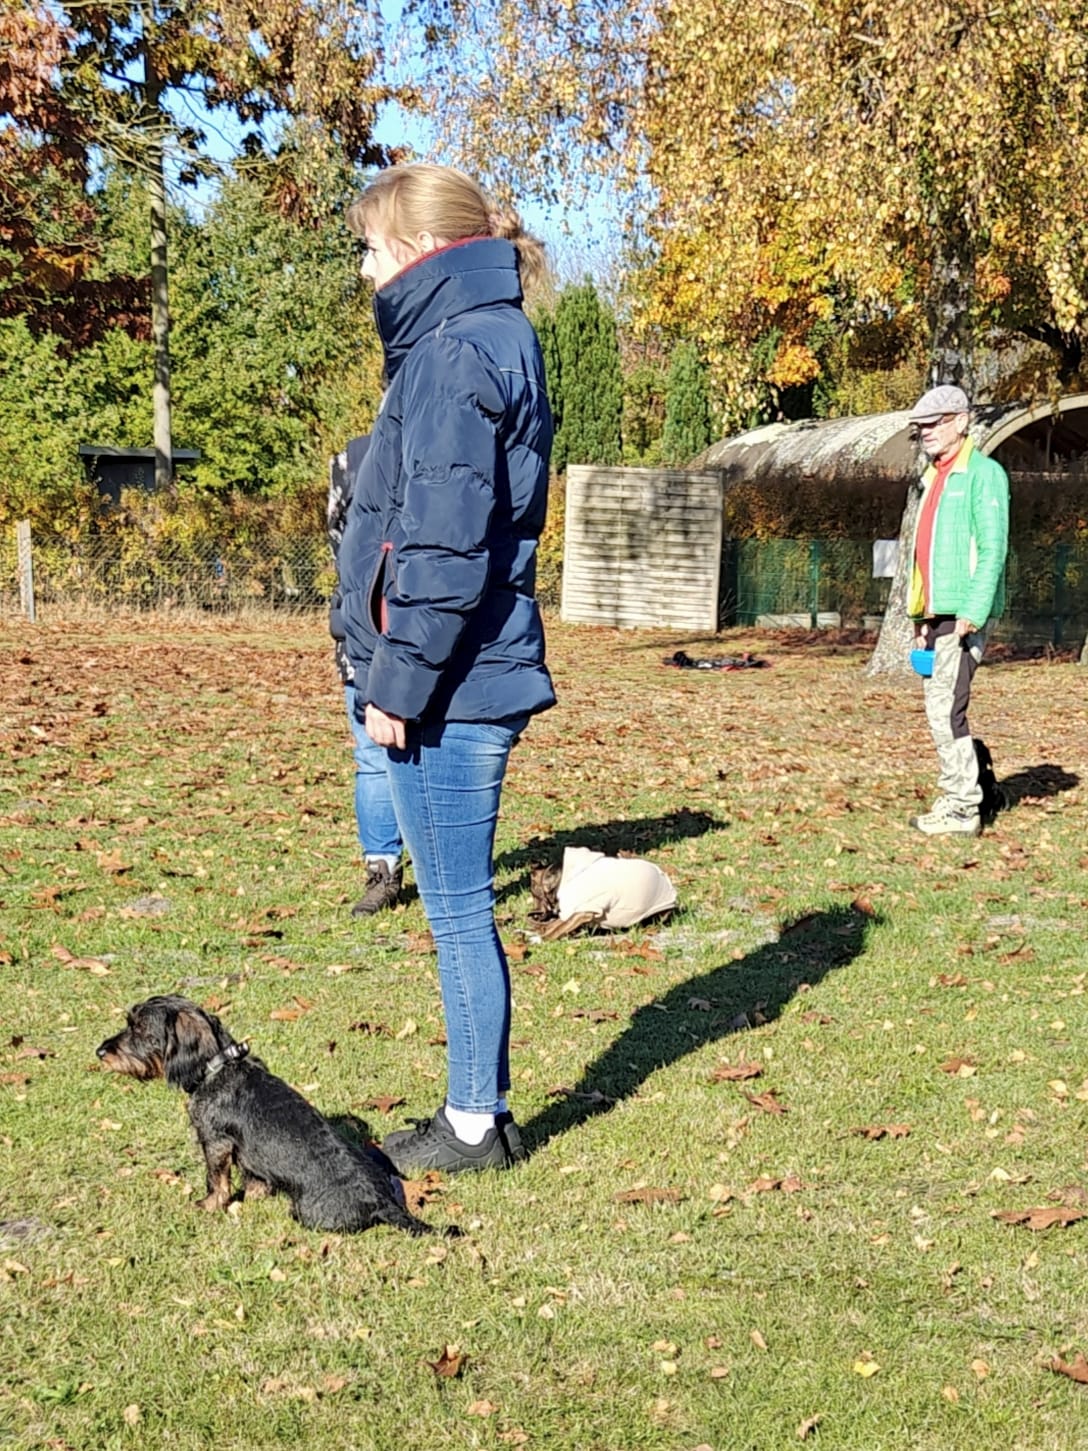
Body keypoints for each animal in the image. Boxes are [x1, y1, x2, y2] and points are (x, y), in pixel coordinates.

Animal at [96, 995, 439, 1236]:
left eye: (140, 1029)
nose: (100, 1052)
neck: (217, 1066)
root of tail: (380, 1203)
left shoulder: (215, 1142)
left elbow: (216, 1180)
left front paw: (209, 1205)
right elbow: (254, 1178)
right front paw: (254, 1198)